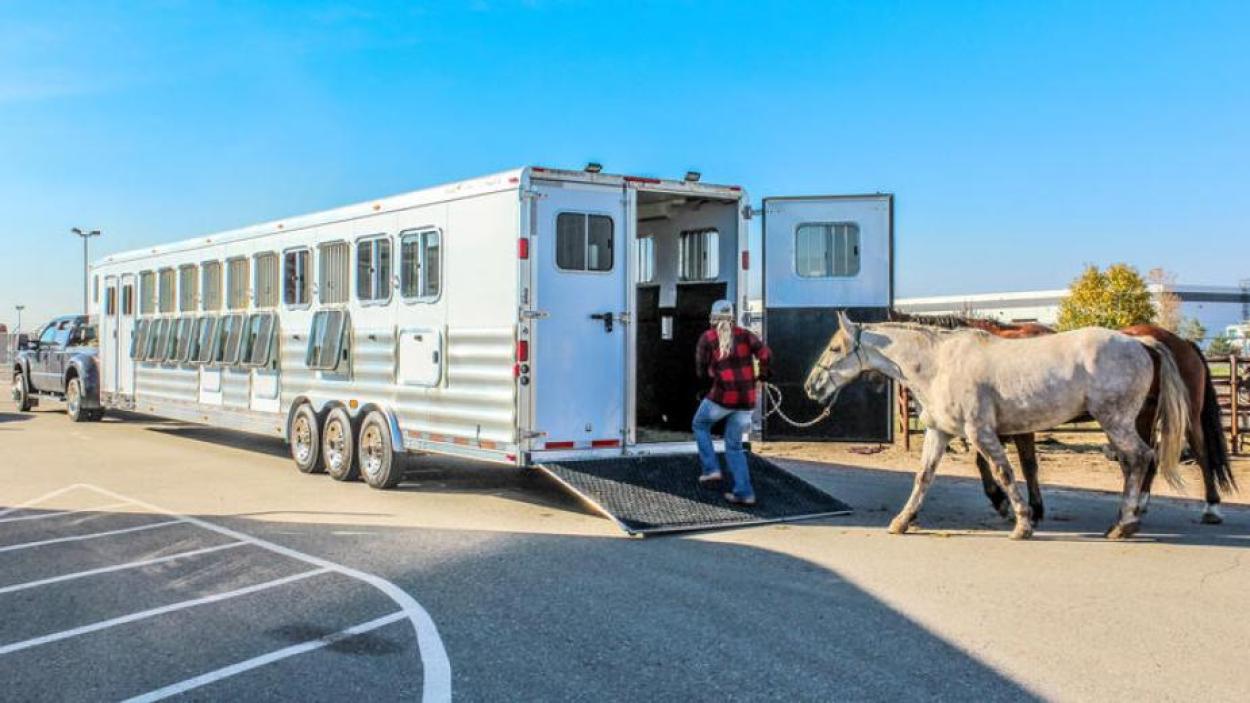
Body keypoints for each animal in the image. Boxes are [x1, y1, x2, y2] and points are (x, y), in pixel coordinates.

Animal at [805, 315, 1185, 537]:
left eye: (835, 347)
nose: (811, 386)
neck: (939, 363)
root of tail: (1142, 343)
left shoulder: (980, 431)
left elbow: (1003, 472)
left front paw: (1022, 522)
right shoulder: (939, 432)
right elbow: (923, 477)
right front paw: (902, 521)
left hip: (1115, 420)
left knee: (1140, 459)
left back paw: (1124, 524)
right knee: (1136, 462)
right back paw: (1126, 520)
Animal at [890, 310, 1230, 520]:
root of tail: (1181, 343)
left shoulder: (1015, 427)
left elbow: (1026, 464)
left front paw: (1025, 506)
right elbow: (986, 462)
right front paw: (1004, 501)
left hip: (1187, 416)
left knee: (1200, 454)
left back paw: (1211, 508)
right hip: (1140, 416)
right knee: (1148, 456)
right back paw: (1139, 504)